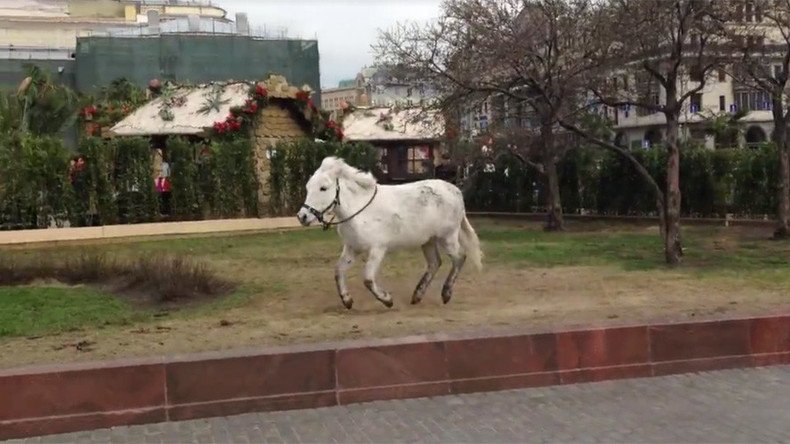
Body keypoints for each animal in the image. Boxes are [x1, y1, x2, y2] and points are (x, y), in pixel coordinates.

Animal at [296, 158, 482, 310]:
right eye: (308, 187)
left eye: (323, 188)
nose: (302, 216)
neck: (359, 210)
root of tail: (456, 191)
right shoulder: (352, 248)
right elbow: (338, 271)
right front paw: (347, 301)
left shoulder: (377, 249)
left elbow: (368, 279)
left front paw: (387, 300)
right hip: (428, 241)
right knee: (435, 263)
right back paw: (417, 295)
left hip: (447, 237)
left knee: (459, 257)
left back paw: (446, 294)